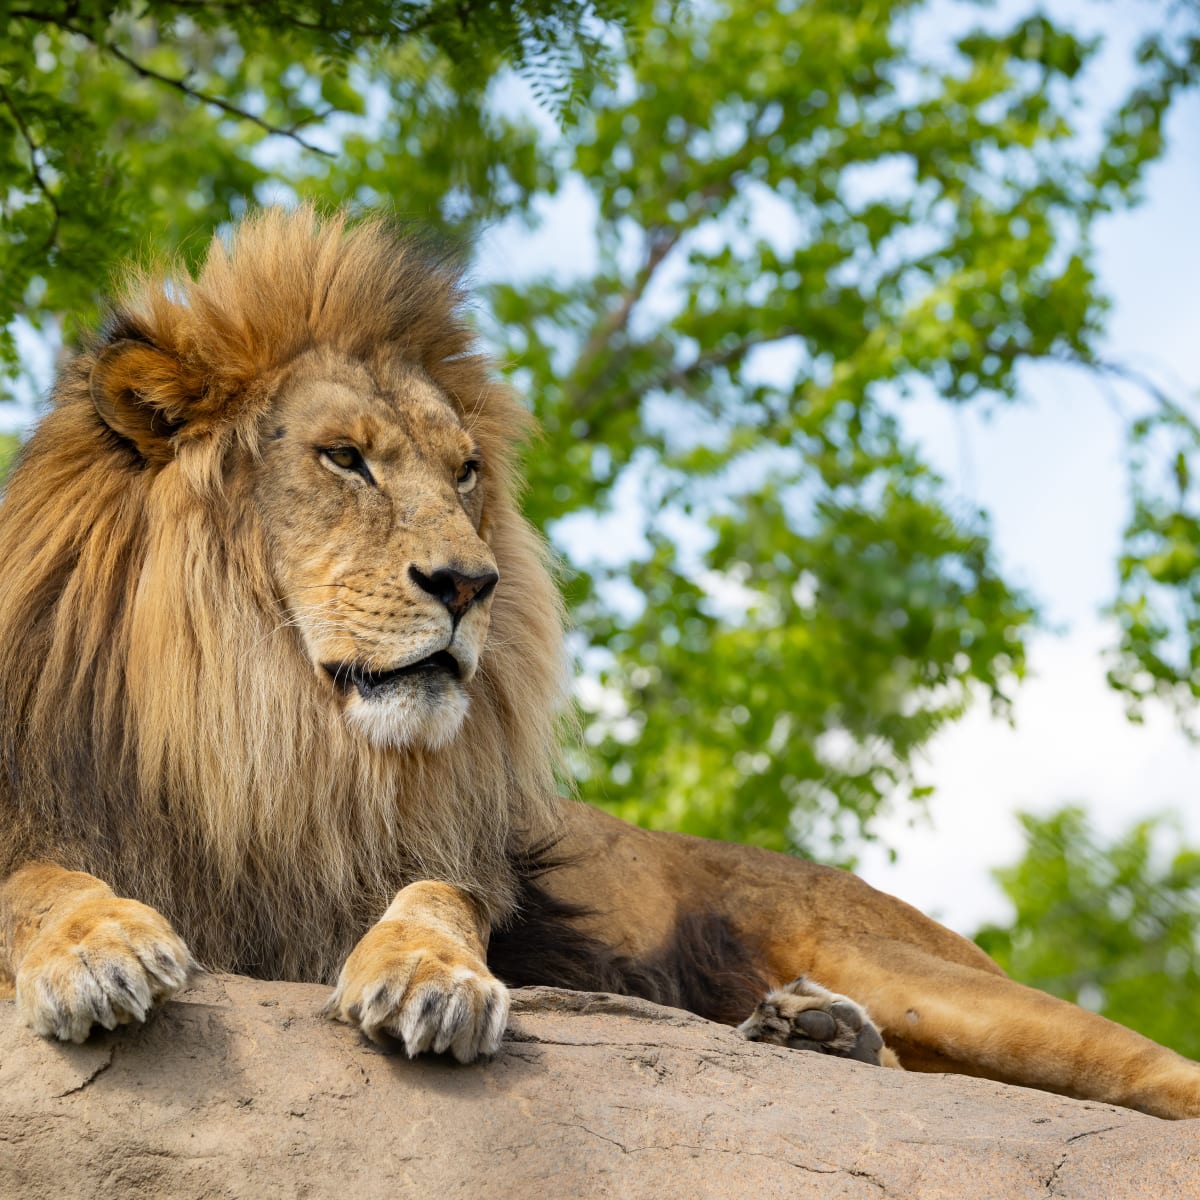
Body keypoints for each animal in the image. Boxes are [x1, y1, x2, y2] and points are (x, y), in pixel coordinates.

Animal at [1, 208, 1198, 1118]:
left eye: (465, 472)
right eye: (344, 459)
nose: (470, 585)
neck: (263, 737)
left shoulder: (458, 871)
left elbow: (437, 898)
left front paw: (430, 978)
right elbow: (40, 879)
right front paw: (98, 949)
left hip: (930, 977)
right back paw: (815, 1034)